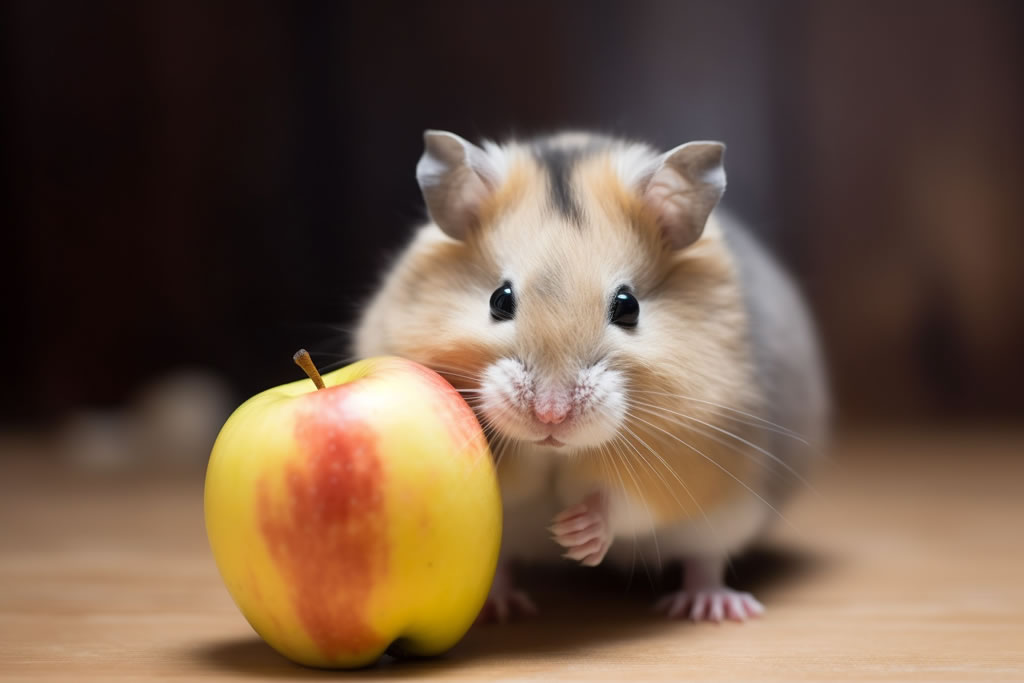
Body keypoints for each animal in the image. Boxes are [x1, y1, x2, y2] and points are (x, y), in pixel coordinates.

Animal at [354, 130, 828, 623]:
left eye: (628, 306)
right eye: (500, 299)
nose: (550, 416)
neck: (555, 455)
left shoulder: (690, 453)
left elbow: (625, 502)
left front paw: (574, 535)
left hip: (723, 520)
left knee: (705, 560)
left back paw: (713, 607)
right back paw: (500, 608)